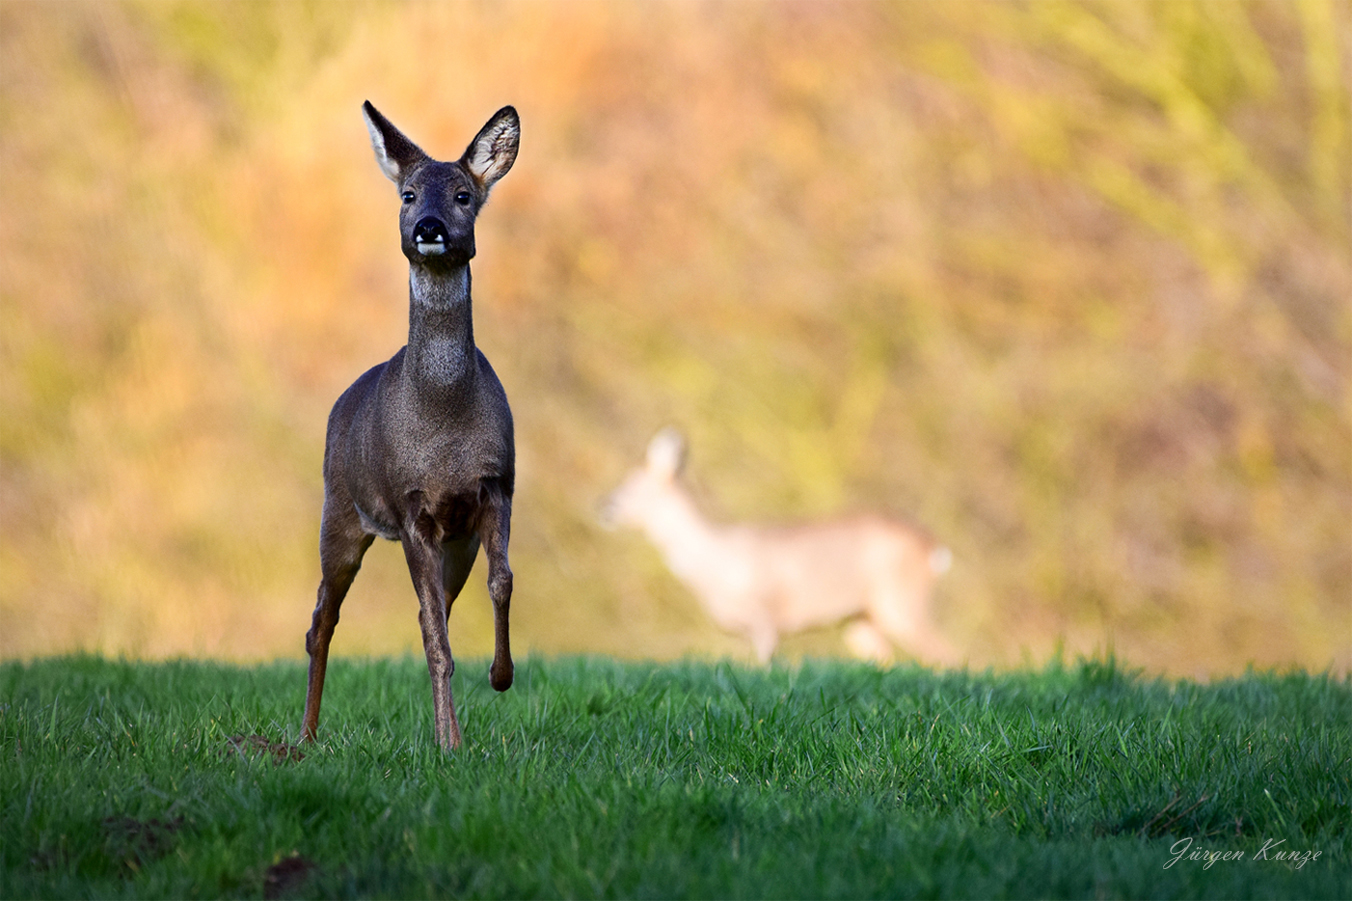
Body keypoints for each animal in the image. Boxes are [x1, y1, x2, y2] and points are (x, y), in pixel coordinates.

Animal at [301, 101, 521, 746]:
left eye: (463, 195)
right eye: (408, 193)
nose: (427, 226)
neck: (444, 422)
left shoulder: (494, 489)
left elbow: (500, 585)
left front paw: (500, 677)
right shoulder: (410, 505)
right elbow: (435, 638)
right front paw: (450, 745)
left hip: (454, 542)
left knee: (432, 612)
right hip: (340, 512)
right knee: (322, 618)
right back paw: (305, 737)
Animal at [602, 427, 962, 665]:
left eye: (629, 486)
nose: (603, 506)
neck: (712, 557)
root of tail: (934, 549)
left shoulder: (764, 617)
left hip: (902, 604)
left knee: (948, 655)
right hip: (860, 618)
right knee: (886, 659)